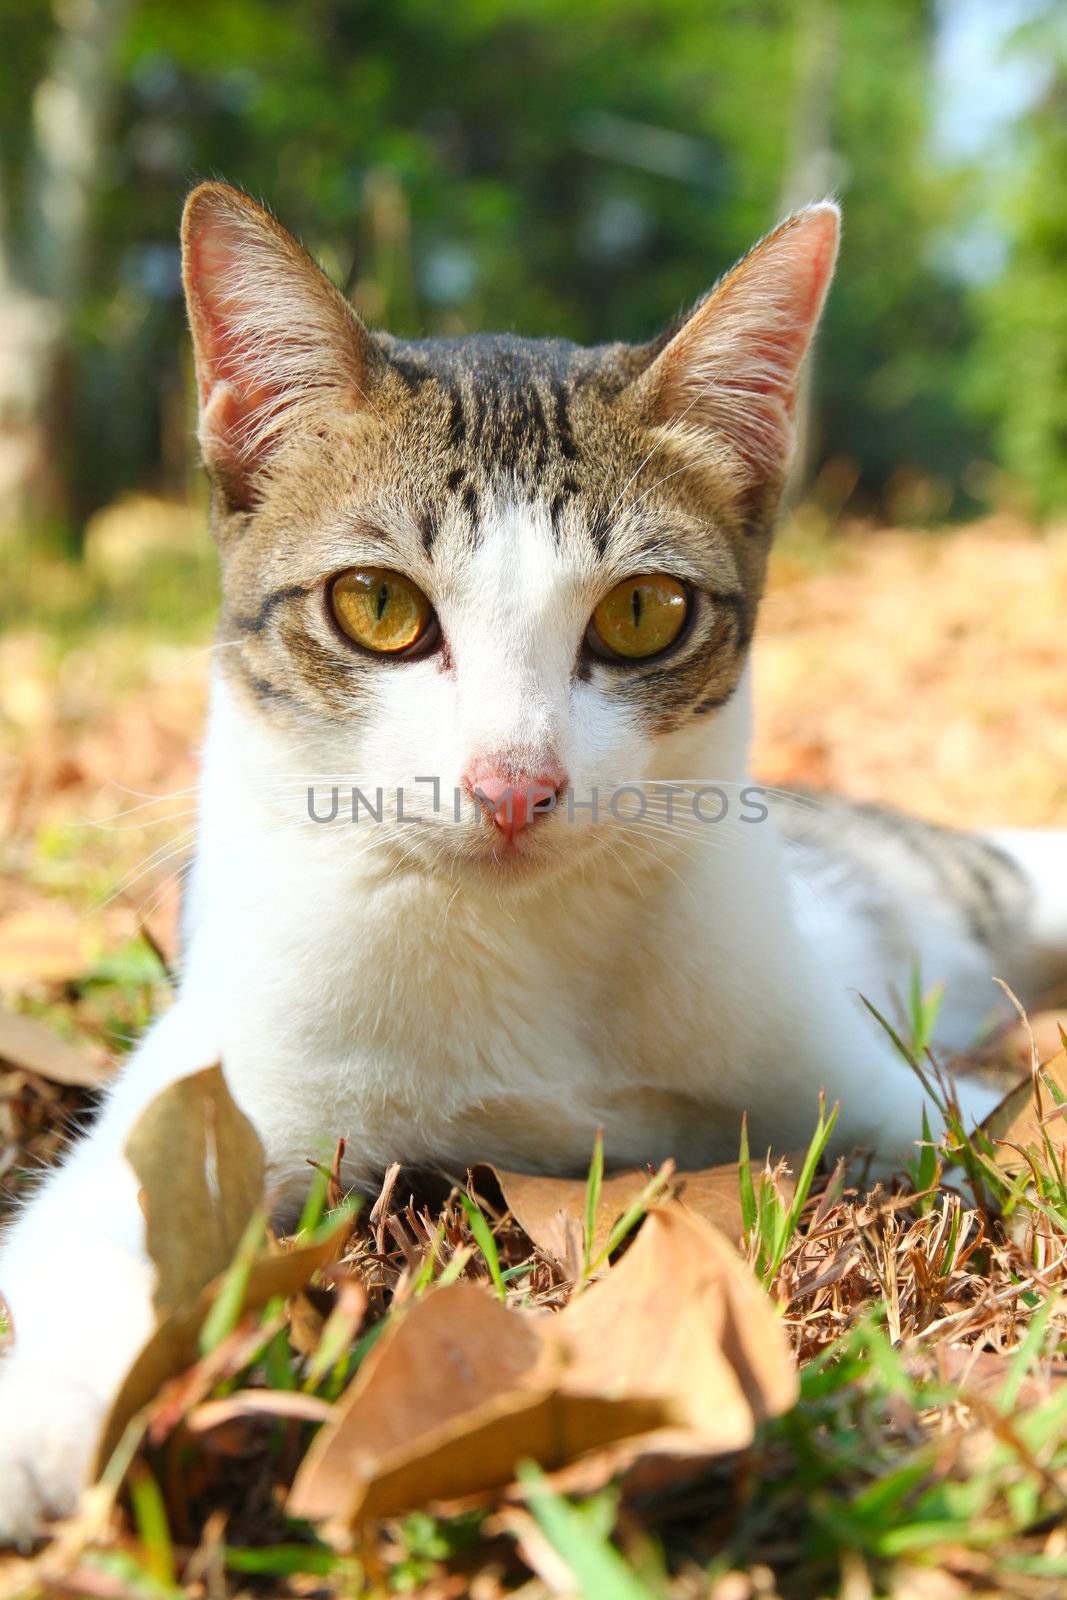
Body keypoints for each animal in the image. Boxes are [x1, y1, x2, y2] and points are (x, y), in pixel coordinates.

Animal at [2, 181, 1067, 1542]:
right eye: (377, 605)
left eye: (641, 613)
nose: (514, 785)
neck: (523, 951)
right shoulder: (225, 1071)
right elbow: (115, 1220)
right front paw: (36, 1416)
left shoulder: (863, 1076)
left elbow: (982, 1125)